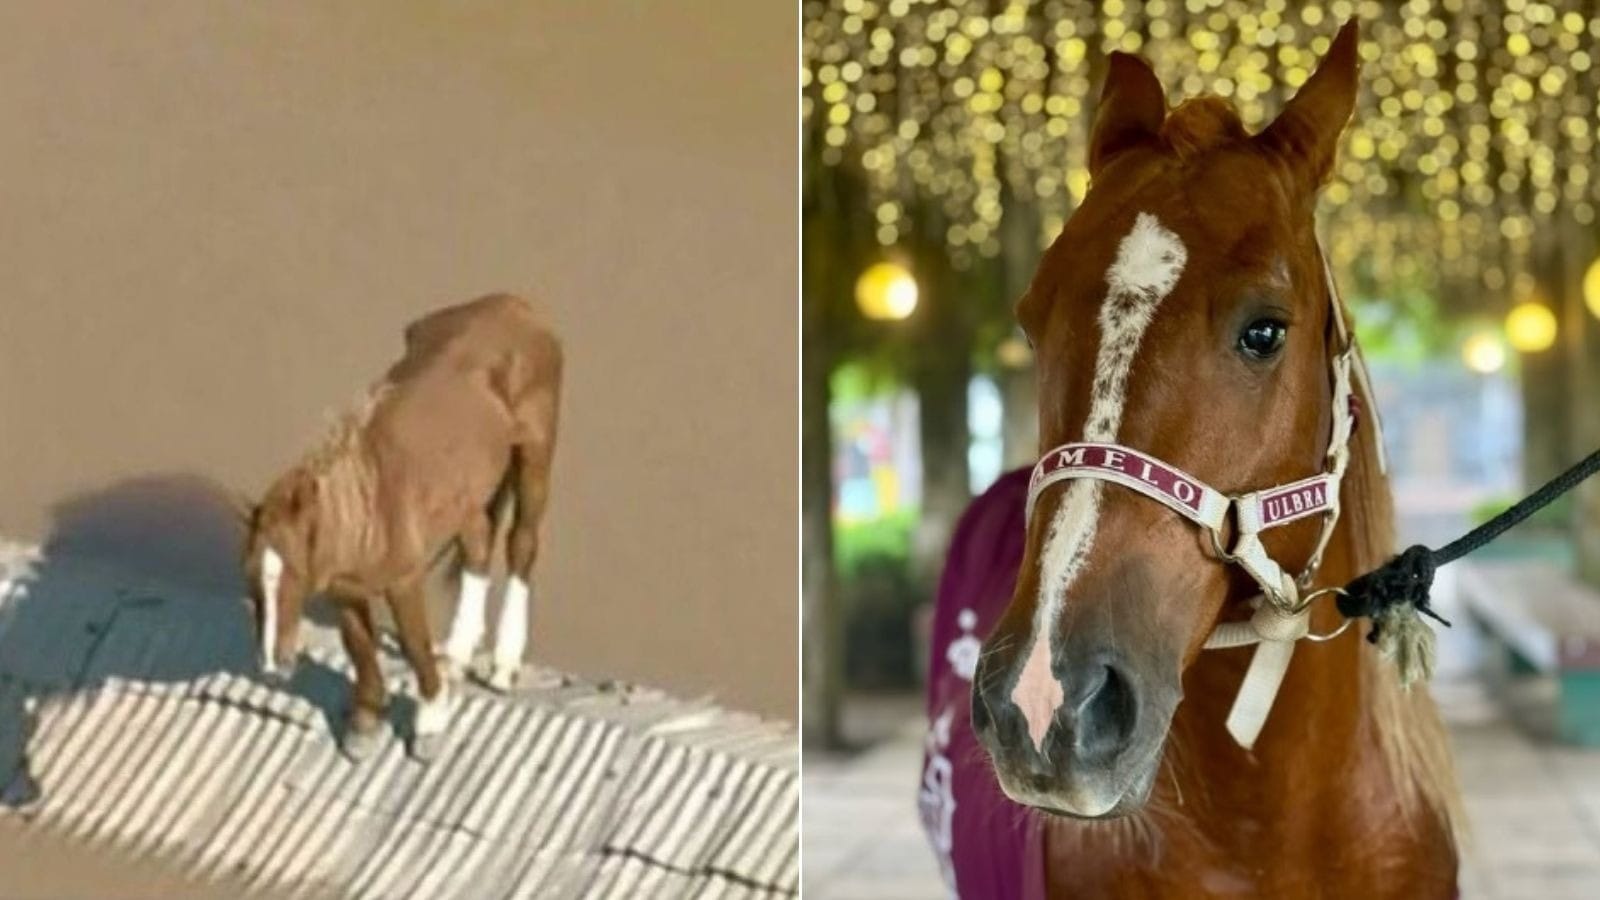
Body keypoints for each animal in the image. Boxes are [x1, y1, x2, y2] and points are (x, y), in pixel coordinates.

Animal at [242, 293, 561, 761]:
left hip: (535, 453)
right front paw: (365, 725)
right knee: (478, 548)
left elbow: (413, 645)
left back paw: (503, 665)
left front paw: (430, 723)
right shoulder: (346, 589)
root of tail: (515, 305)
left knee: (522, 543)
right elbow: (359, 647)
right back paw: (458, 654)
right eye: (250, 583)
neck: (369, 502)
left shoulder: (403, 581)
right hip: (467, 495)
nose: (269, 668)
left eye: (294, 574)